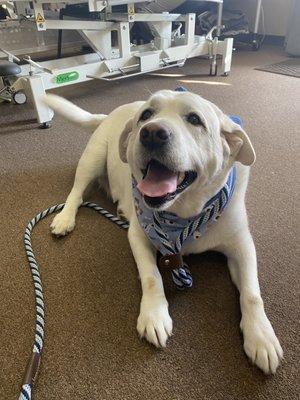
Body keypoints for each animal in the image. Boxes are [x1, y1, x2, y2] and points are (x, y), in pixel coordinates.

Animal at [43, 90, 282, 376]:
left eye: (194, 119)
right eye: (146, 115)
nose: (152, 132)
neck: (183, 215)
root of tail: (111, 112)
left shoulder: (242, 245)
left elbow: (252, 294)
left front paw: (261, 337)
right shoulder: (138, 235)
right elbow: (151, 277)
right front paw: (154, 315)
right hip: (92, 157)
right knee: (76, 192)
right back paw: (65, 218)